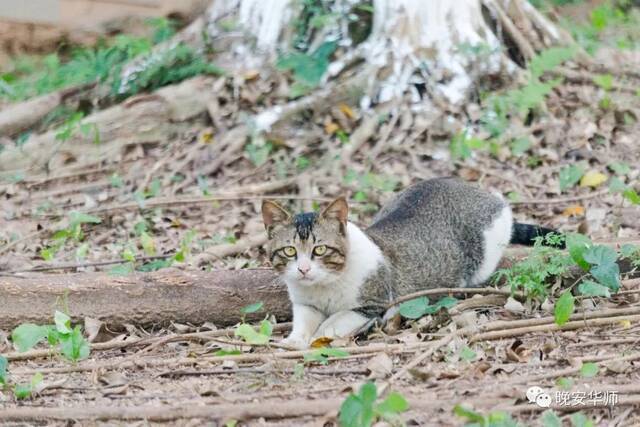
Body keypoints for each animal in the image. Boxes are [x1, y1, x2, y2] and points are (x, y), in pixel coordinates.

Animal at [260, 177, 560, 348]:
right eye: (289, 251)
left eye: (320, 249)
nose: (304, 269)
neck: (323, 288)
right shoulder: (304, 304)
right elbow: (304, 322)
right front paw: (295, 339)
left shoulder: (372, 304)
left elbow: (333, 322)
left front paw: (318, 337)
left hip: (487, 246)